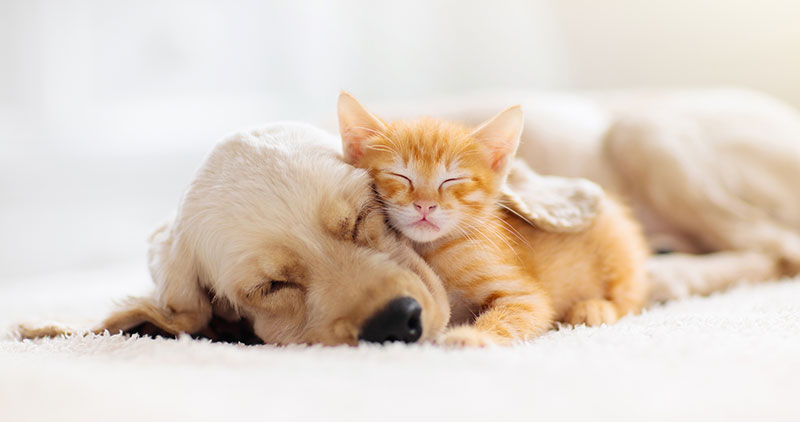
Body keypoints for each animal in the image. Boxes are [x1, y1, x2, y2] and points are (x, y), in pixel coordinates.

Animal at [334, 92, 648, 346]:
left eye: (451, 180)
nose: (425, 205)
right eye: (400, 175)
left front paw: (471, 336)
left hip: (617, 247)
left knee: (632, 297)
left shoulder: (524, 296)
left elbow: (513, 315)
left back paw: (595, 307)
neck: (432, 250)